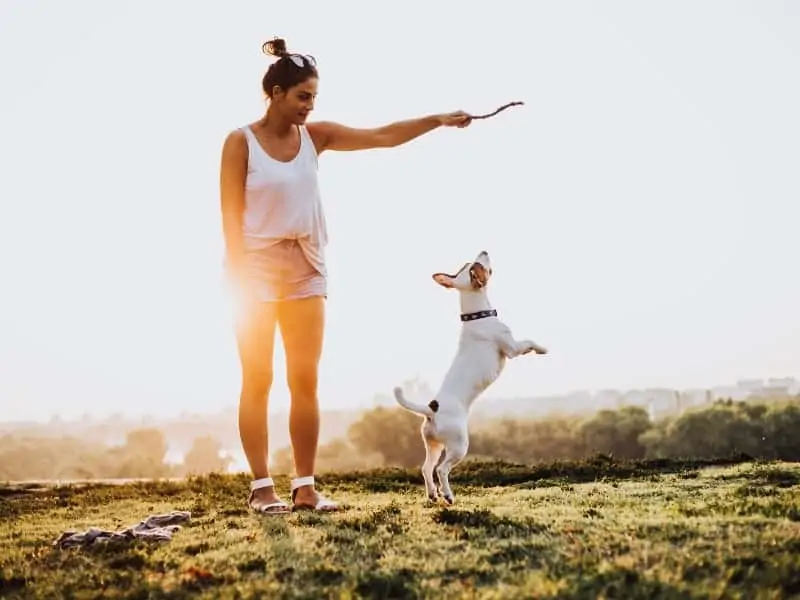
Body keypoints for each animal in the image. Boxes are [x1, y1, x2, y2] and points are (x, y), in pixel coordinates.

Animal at [396, 251, 552, 504]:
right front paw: (541, 349)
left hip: (433, 445)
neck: (477, 315)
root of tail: (432, 409)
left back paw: (433, 494)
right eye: (477, 266)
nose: (484, 251)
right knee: (441, 470)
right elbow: (528, 341)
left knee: (427, 468)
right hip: (459, 445)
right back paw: (448, 495)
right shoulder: (511, 348)